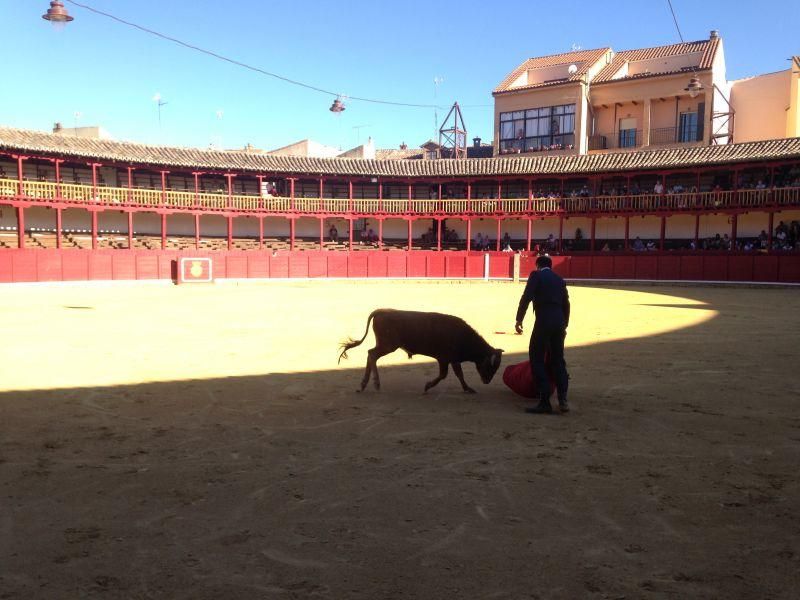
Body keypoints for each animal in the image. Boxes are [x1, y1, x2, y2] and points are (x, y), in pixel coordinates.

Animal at [336, 310, 500, 394]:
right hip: (388, 345)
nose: (487, 381)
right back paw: (375, 383)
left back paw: (364, 385)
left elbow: (459, 374)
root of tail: (382, 310)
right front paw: (427, 386)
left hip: (386, 345)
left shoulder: (453, 360)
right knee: (372, 354)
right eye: (489, 366)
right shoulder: (445, 359)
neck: (464, 337)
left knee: (370, 354)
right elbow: (444, 375)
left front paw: (467, 388)